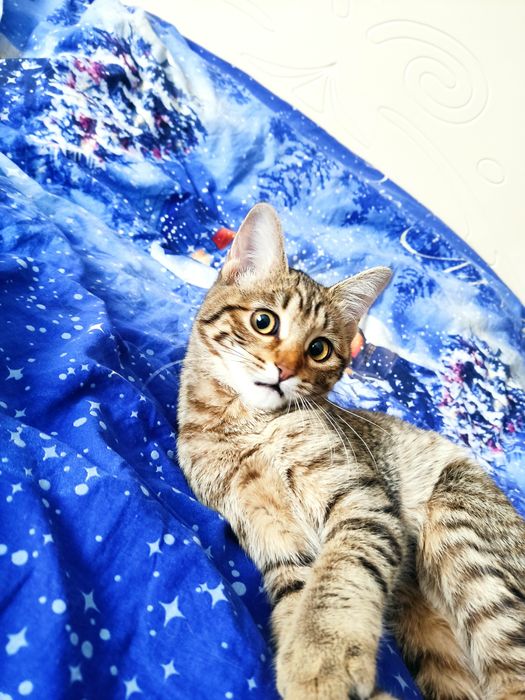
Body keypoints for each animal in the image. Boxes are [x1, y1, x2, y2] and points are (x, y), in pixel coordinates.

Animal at [177, 203, 525, 700]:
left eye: (320, 349)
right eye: (264, 321)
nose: (284, 370)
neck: (247, 429)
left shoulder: (364, 502)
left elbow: (341, 574)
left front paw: (323, 654)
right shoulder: (270, 533)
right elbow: (301, 592)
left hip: (463, 533)